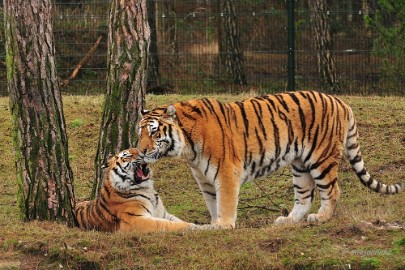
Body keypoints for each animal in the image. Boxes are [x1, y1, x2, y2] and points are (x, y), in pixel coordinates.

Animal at [137, 90, 402, 228]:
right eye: (140, 132)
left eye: (154, 132)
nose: (140, 151)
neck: (188, 148)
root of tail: (341, 102)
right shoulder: (204, 179)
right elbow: (213, 203)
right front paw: (214, 223)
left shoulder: (226, 173)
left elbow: (225, 202)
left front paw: (224, 225)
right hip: (300, 165)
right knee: (304, 196)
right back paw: (288, 220)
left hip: (321, 158)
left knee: (332, 190)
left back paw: (321, 217)